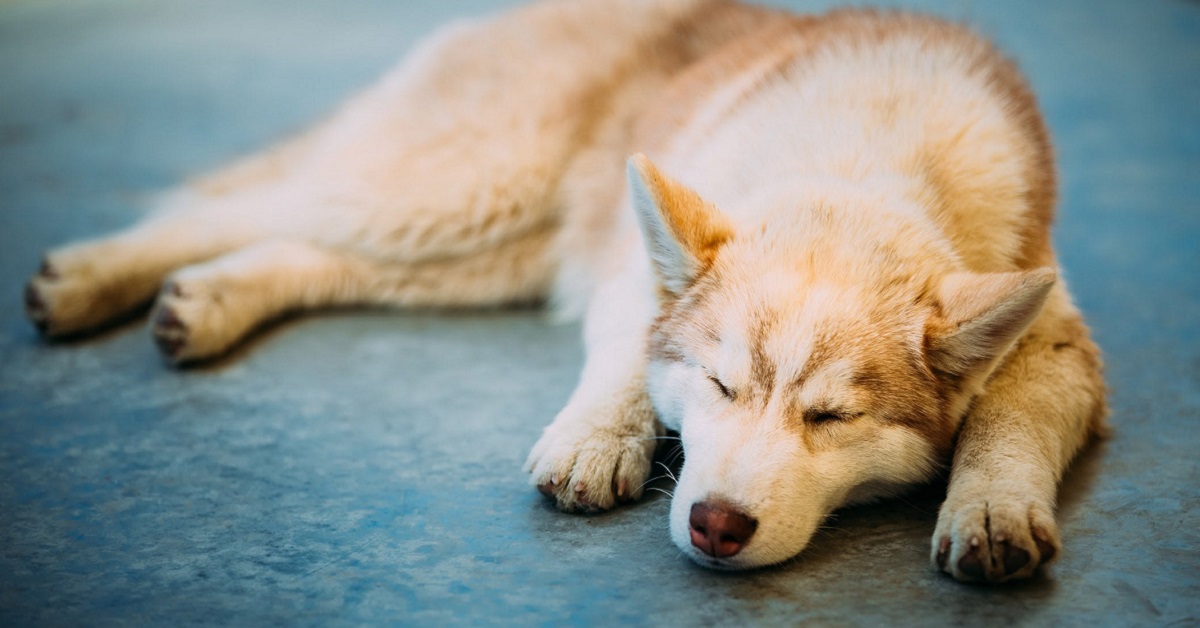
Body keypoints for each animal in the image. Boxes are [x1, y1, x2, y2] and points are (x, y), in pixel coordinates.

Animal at [21, 0, 1104, 585]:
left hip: (489, 246)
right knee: (245, 202)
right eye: (719, 387)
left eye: (831, 418)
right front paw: (599, 436)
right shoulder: (638, 274)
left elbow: (1010, 418)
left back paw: (208, 302)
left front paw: (993, 507)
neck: (863, 156)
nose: (717, 526)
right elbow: (628, 352)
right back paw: (93, 276)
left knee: (312, 246)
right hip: (464, 184)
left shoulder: (1056, 339)